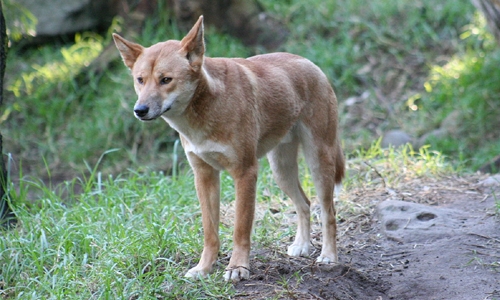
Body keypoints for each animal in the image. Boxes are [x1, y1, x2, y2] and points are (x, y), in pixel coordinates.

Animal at [113, 14, 344, 282]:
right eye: (140, 80)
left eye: (166, 80)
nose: (139, 110)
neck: (205, 111)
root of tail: (310, 62)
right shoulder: (204, 176)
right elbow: (210, 233)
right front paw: (204, 268)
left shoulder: (245, 173)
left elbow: (240, 230)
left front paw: (237, 268)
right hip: (281, 170)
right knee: (304, 204)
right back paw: (302, 246)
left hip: (318, 161)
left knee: (328, 212)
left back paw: (328, 256)